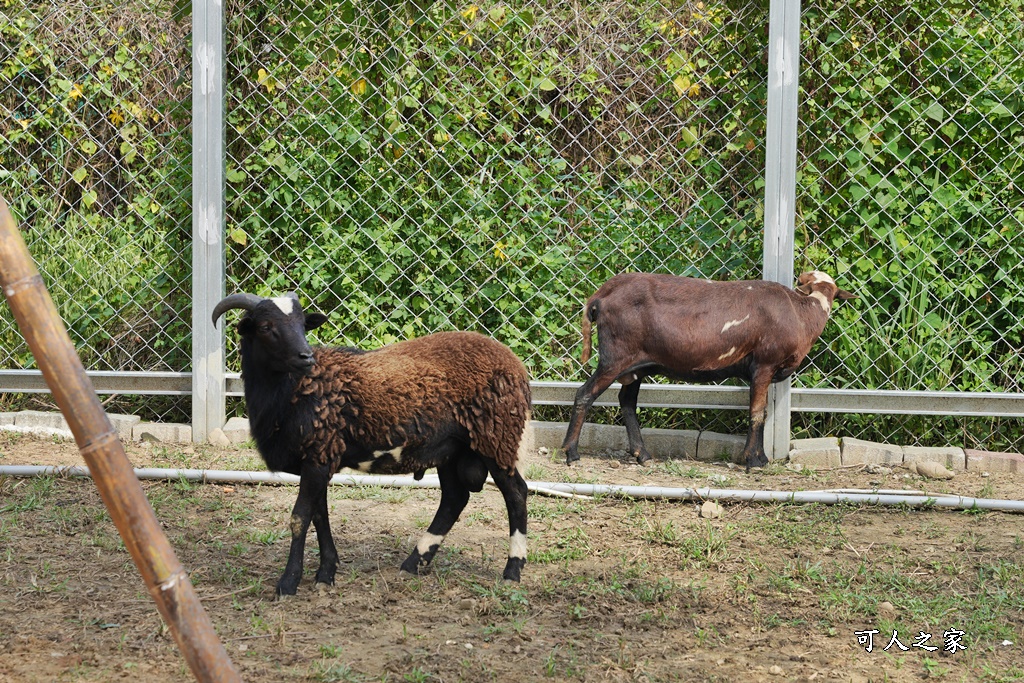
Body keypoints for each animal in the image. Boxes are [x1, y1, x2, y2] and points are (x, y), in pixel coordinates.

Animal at [561, 270, 856, 471]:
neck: (802, 313)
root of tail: (601, 295)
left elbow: (762, 413)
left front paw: (760, 458)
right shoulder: (764, 364)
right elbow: (757, 413)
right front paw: (753, 461)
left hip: (635, 365)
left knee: (627, 402)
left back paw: (642, 455)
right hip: (615, 358)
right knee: (584, 394)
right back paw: (571, 453)